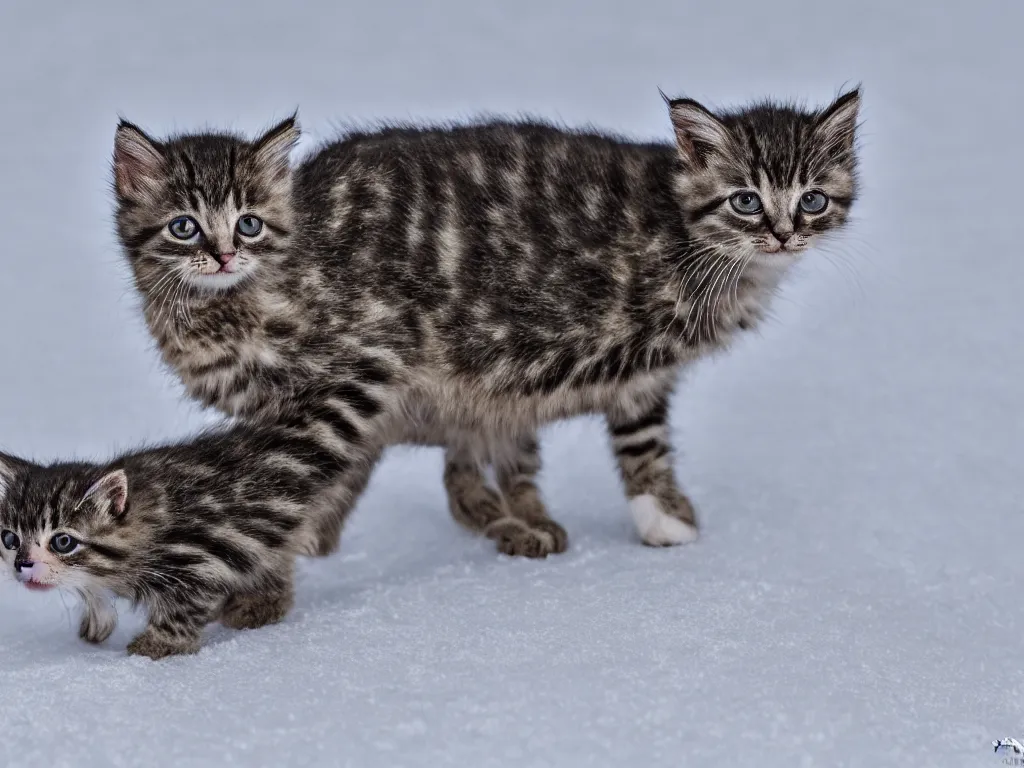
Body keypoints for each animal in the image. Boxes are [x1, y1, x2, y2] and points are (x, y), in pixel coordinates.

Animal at [0, 421, 344, 663]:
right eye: (9, 539)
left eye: (62, 542)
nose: (23, 564)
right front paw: (97, 622)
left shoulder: (198, 554)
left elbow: (184, 603)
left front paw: (156, 647)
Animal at [112, 88, 860, 561]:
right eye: (745, 201)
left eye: (813, 200)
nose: (784, 234)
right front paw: (666, 521)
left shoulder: (634, 374)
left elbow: (640, 438)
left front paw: (661, 511)